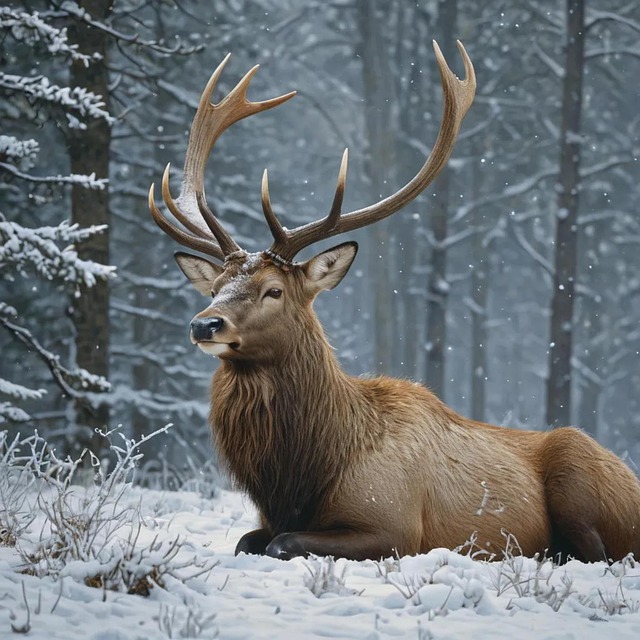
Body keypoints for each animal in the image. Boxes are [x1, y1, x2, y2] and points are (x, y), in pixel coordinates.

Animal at [148, 42, 640, 563]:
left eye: (274, 290)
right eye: (215, 286)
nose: (205, 324)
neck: (305, 474)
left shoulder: (393, 524)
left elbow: (284, 544)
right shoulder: (268, 519)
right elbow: (248, 541)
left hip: (579, 471)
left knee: (595, 550)